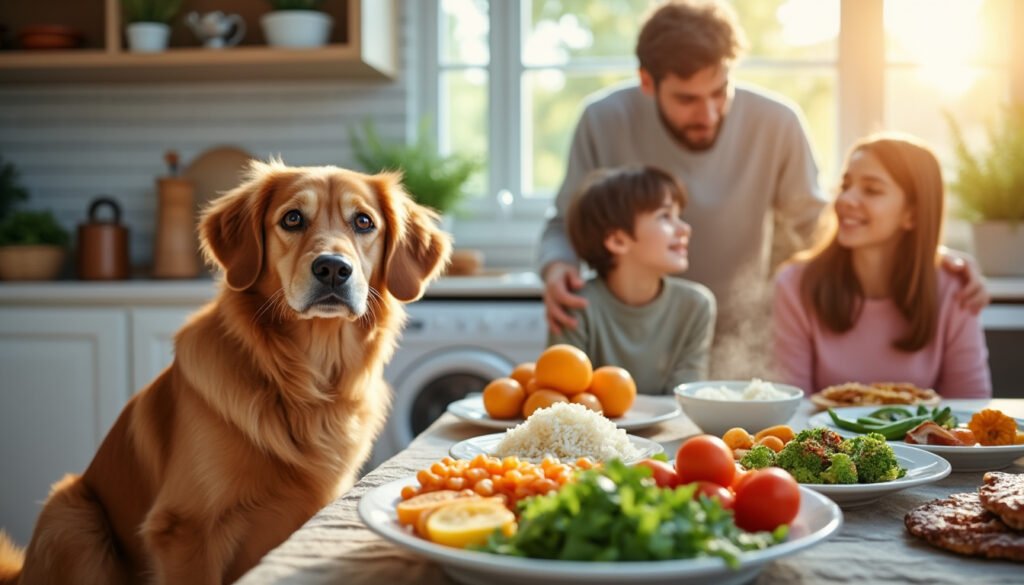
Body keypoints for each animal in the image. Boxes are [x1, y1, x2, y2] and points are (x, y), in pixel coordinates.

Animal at [0, 159, 452, 585]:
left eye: (363, 222)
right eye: (292, 219)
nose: (333, 269)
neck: (305, 380)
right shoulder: (184, 529)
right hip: (72, 517)